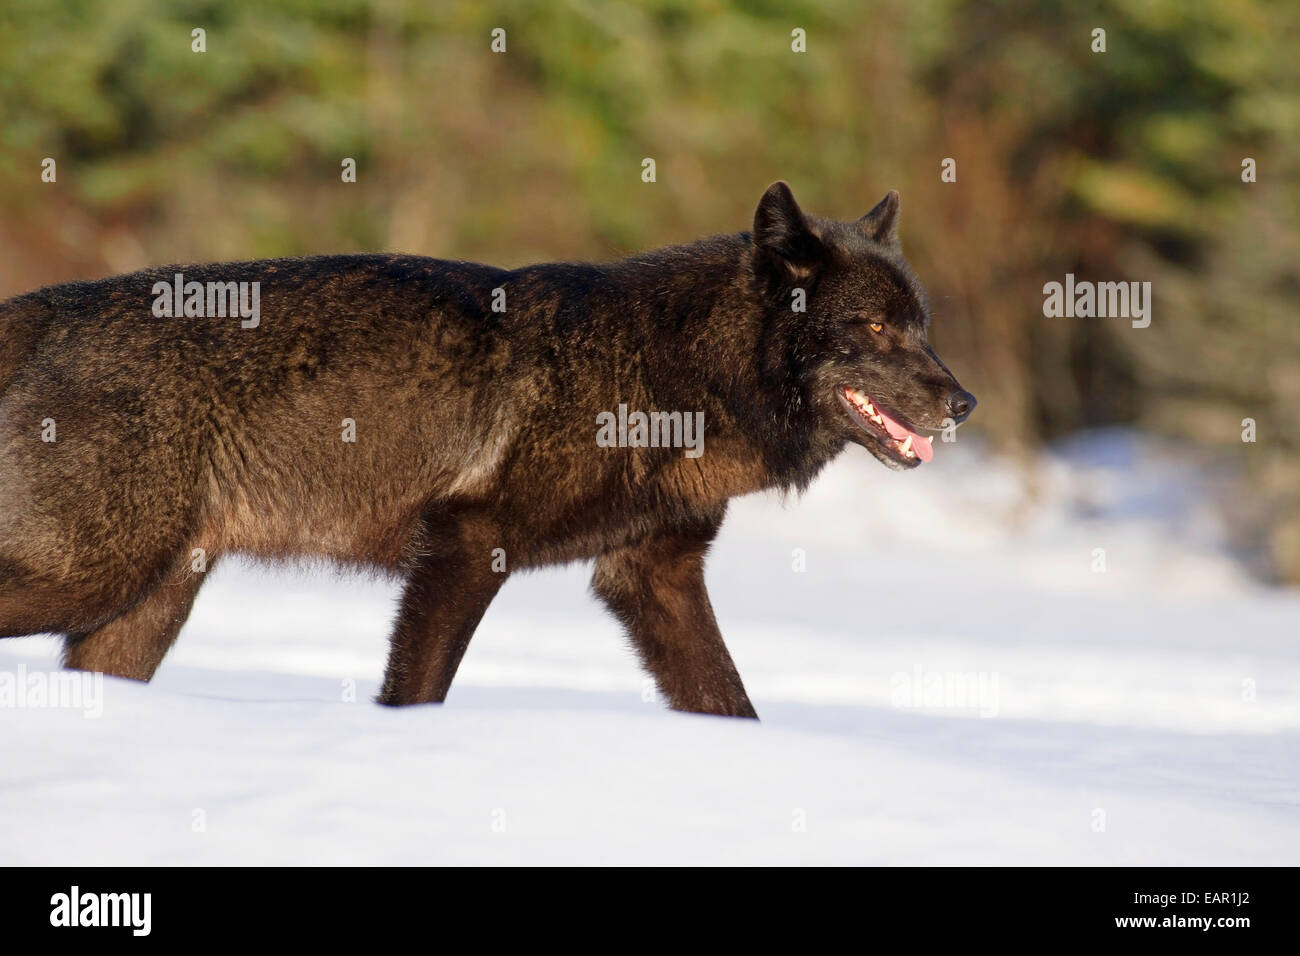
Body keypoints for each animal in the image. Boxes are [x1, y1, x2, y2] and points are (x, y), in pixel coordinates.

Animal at [0, 182, 974, 718]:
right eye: (873, 328)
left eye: (923, 326)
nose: (964, 401)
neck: (673, 373)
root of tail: (49, 306)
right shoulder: (466, 545)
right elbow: (418, 691)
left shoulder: (652, 577)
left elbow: (734, 706)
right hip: (93, 575)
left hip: (141, 609)